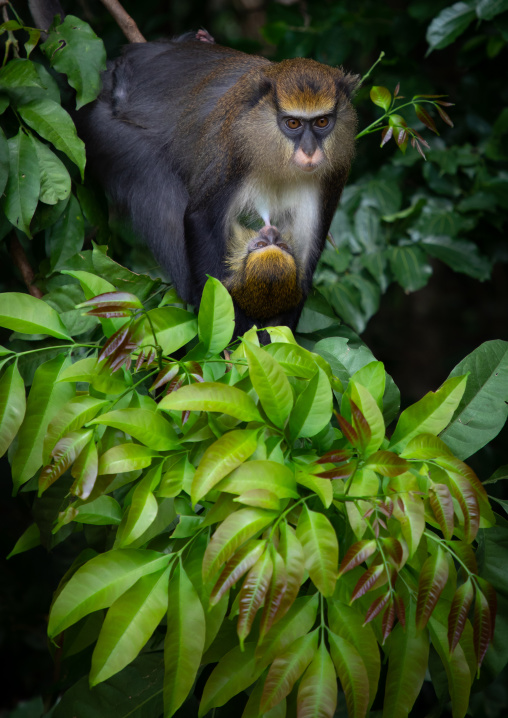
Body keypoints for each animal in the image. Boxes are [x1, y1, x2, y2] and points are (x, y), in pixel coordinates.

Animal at [29, 3, 360, 337]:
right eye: (292, 123)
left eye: (322, 122)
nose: (310, 151)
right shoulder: (231, 147)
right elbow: (200, 218)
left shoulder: (332, 175)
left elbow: (307, 259)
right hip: (103, 129)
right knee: (156, 186)